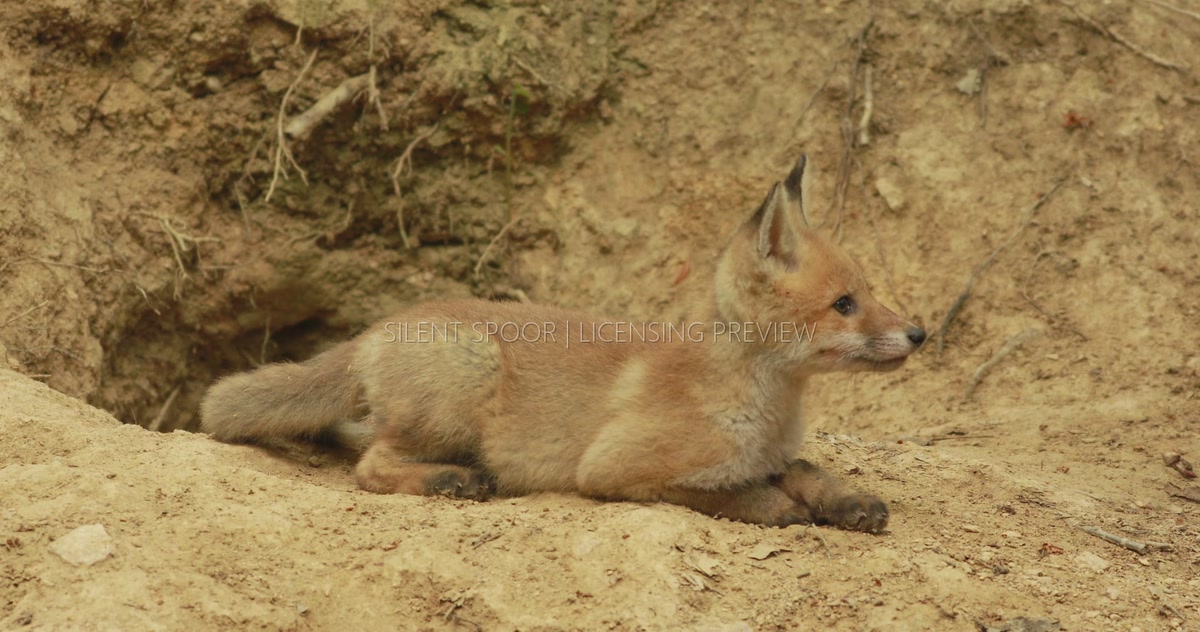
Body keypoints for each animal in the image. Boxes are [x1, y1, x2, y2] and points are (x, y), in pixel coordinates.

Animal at [199, 155, 926, 532]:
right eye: (844, 304)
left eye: (868, 291)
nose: (920, 332)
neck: (762, 408)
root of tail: (378, 326)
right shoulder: (613, 467)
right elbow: (725, 494)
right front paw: (777, 506)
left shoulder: (769, 451)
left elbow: (807, 470)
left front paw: (844, 500)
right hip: (465, 382)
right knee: (370, 467)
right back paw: (452, 480)